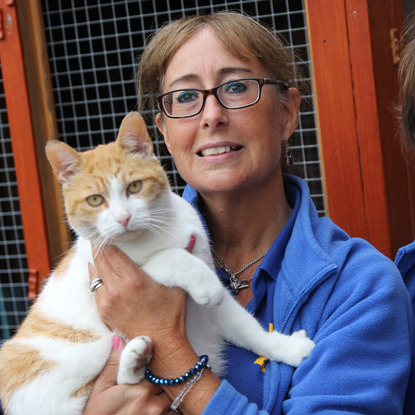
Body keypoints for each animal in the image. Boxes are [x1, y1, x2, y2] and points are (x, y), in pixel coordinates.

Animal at [0, 112, 314, 414]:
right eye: (95, 200)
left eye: (135, 186)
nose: (123, 218)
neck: (160, 229)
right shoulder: (118, 266)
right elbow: (171, 257)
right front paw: (204, 284)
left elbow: (248, 328)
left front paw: (287, 347)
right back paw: (134, 359)